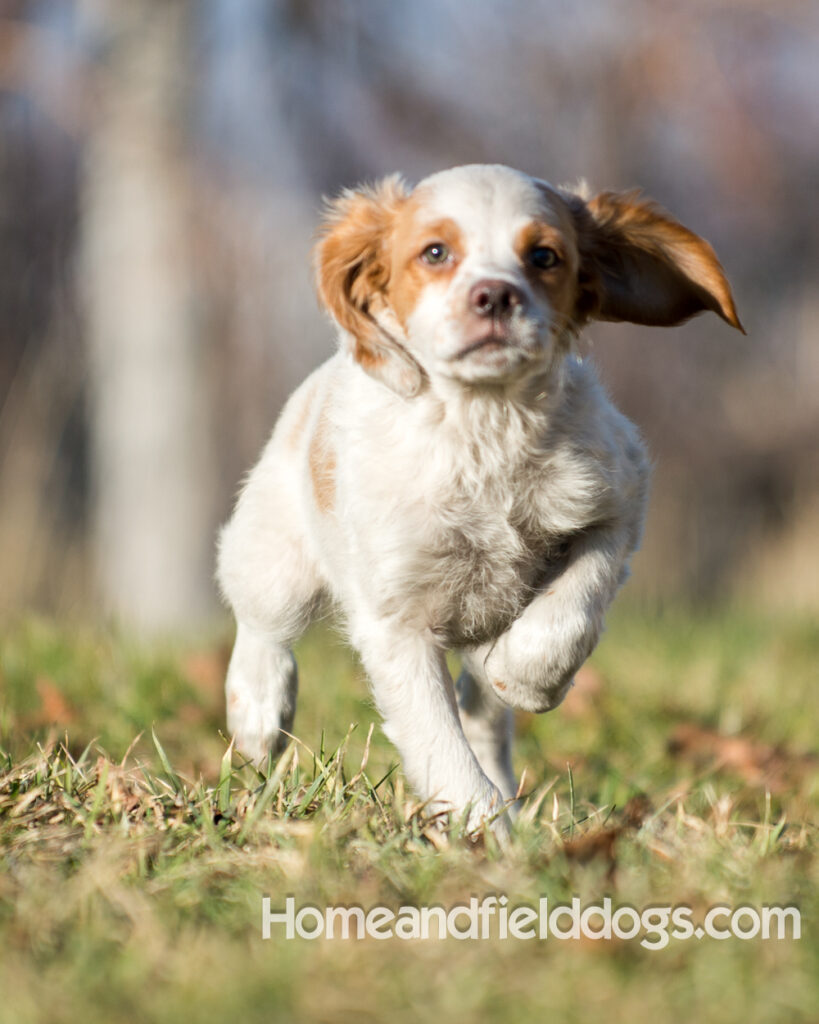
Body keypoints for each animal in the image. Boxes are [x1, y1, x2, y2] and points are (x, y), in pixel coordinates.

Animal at [217, 163, 741, 835]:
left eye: (544, 256)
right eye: (435, 252)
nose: (495, 295)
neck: (484, 424)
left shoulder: (616, 502)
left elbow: (570, 610)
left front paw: (524, 676)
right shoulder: (397, 623)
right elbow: (439, 744)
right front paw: (485, 833)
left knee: (480, 713)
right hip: (275, 553)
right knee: (262, 622)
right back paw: (258, 714)